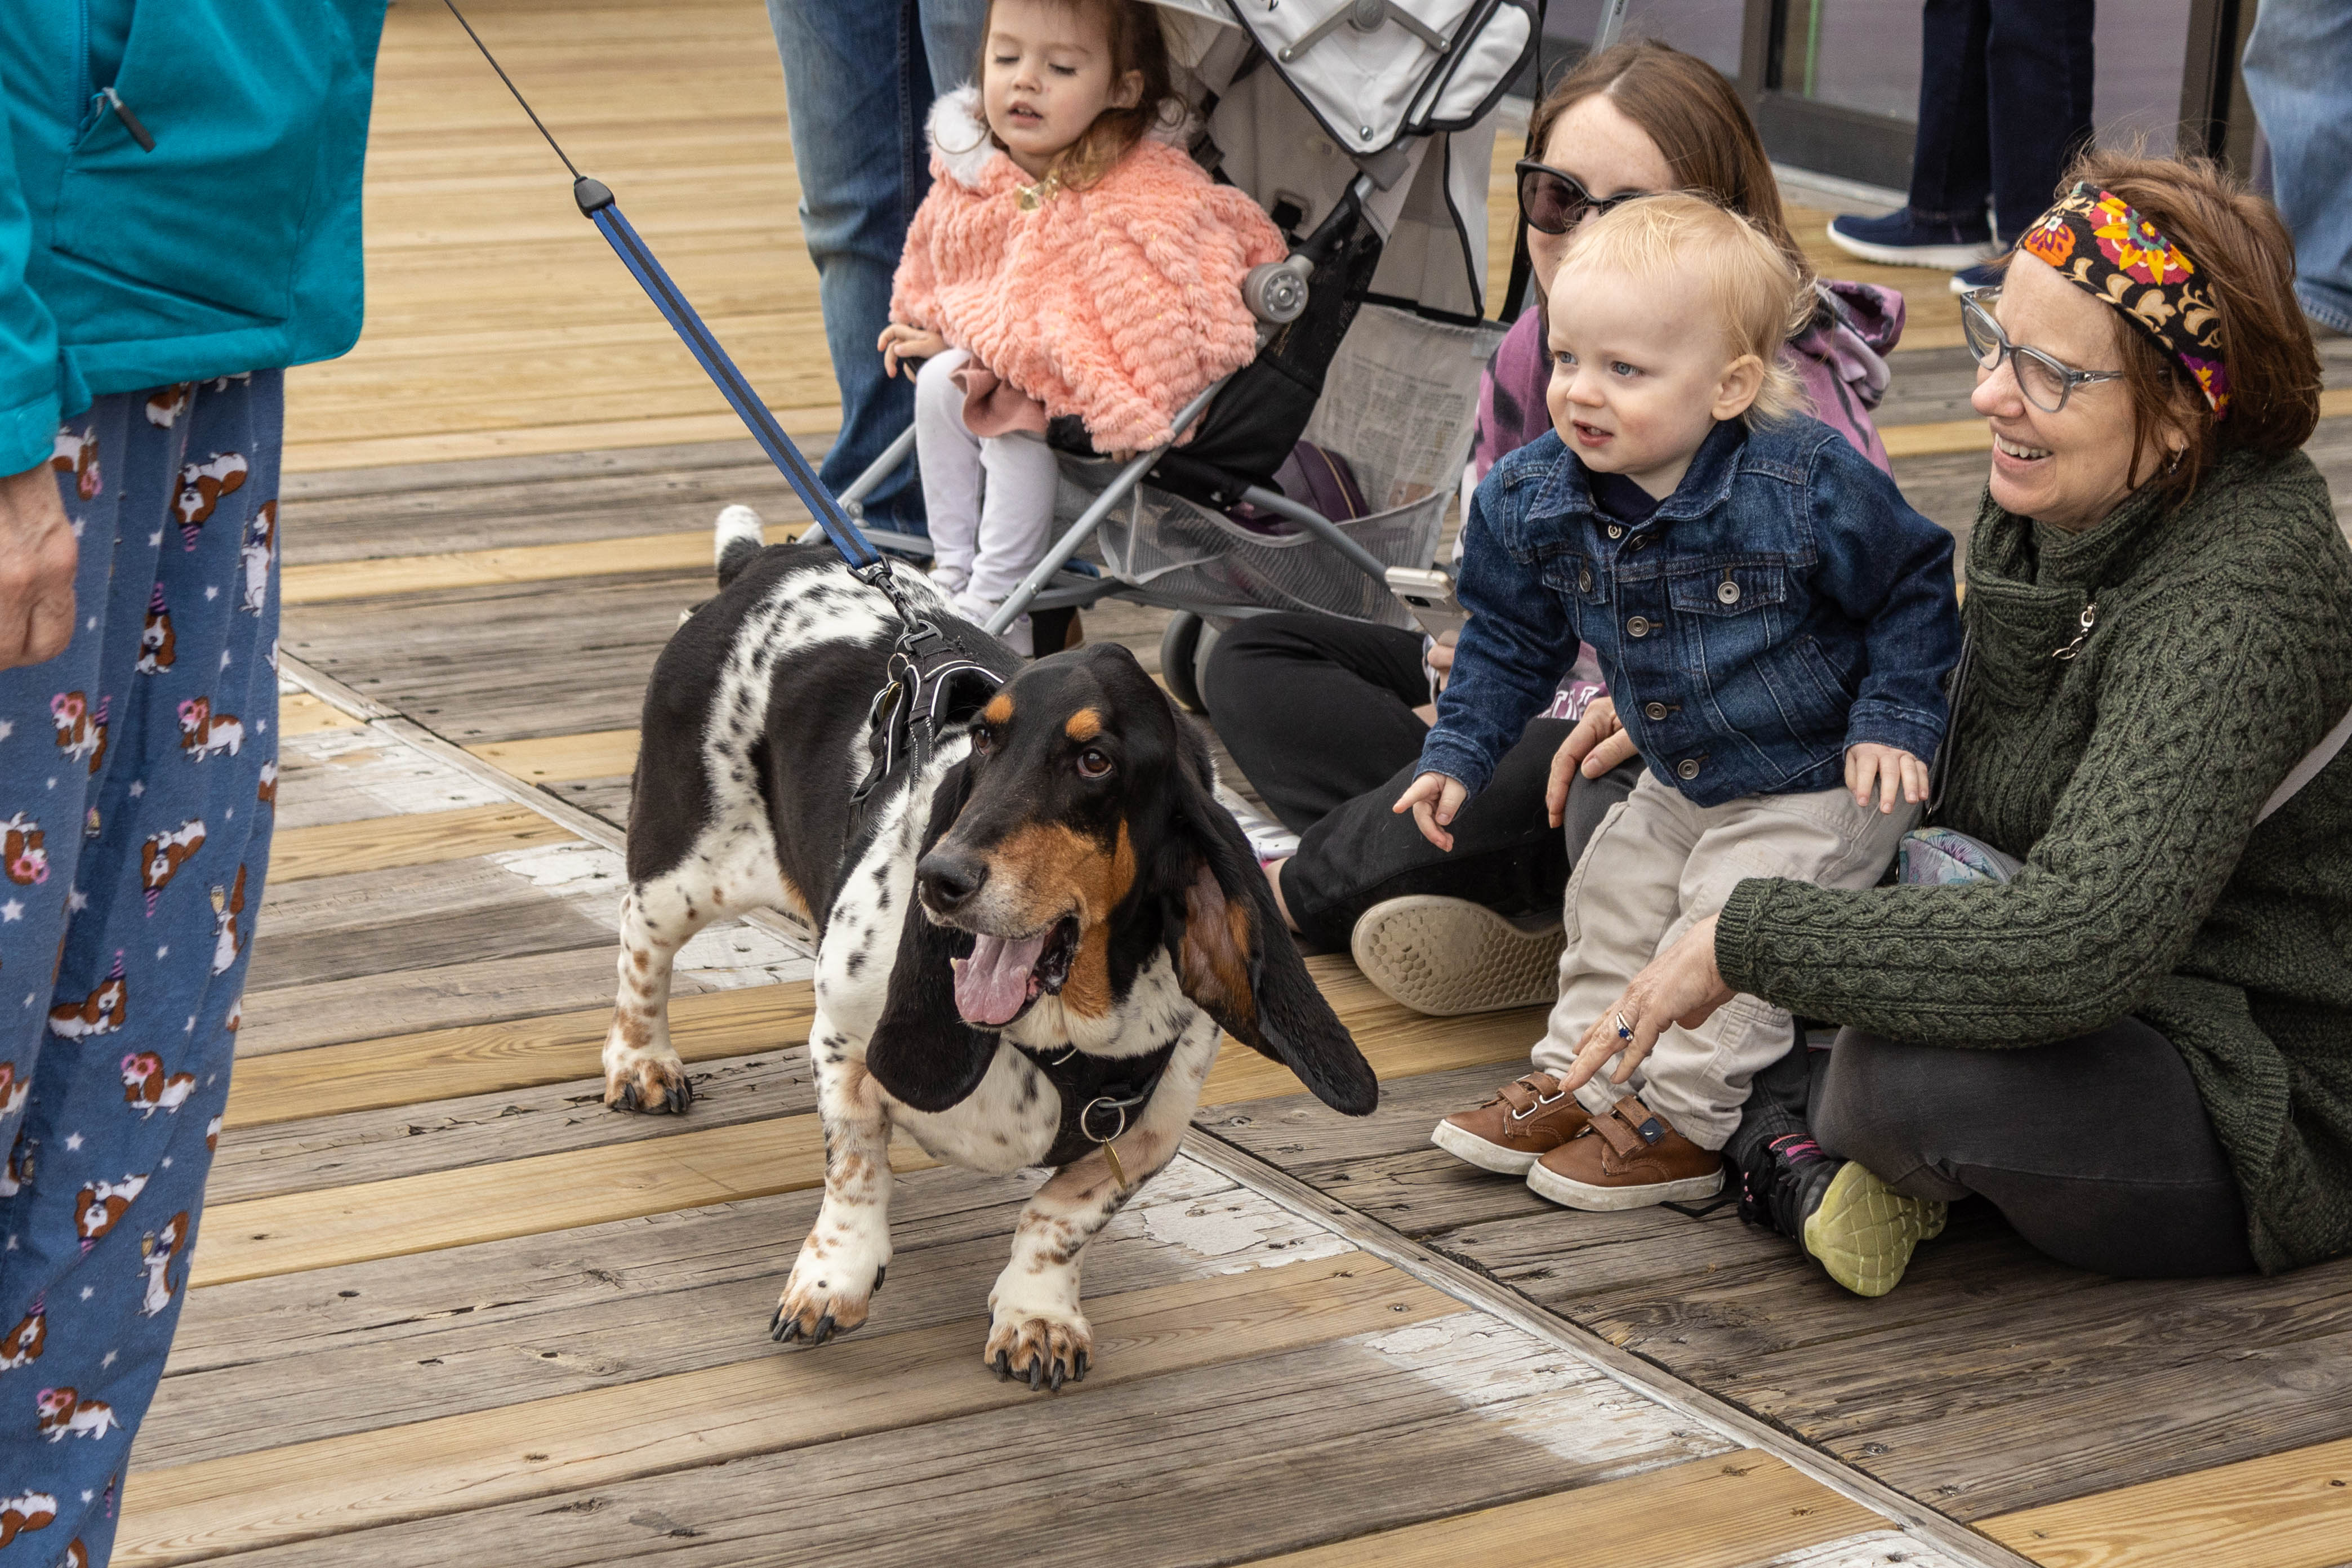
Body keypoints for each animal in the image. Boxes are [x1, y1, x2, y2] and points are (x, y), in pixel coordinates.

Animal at [605, 517, 1376, 1388]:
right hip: (687, 870)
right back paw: (643, 1063)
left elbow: (1061, 1217)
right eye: (982, 739)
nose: (940, 878)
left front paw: (1039, 1315)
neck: (1056, 1029)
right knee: (641, 945)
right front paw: (833, 1281)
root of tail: (767, 558)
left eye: (1095, 760)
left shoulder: (1154, 1126)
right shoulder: (841, 1040)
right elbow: (855, 1164)